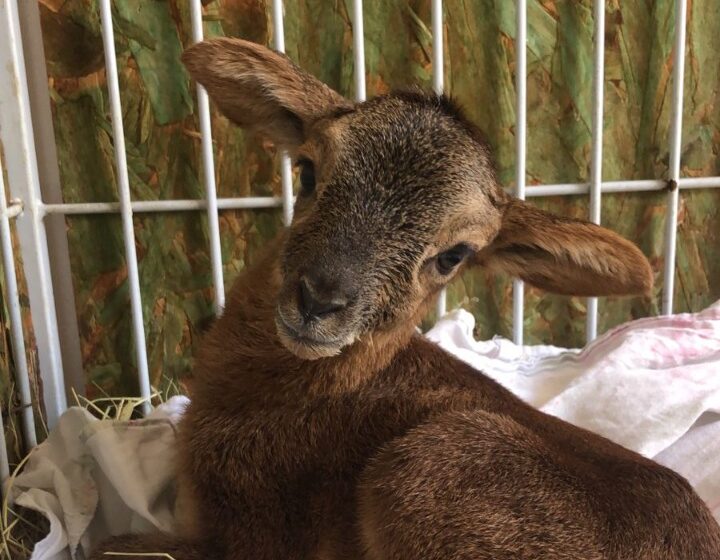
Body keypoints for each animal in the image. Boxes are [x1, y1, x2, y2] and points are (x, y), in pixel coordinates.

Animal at [88, 37, 720, 556]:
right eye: (308, 172)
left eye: (454, 255)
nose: (319, 300)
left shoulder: (248, 540)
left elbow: (108, 546)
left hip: (424, 470)